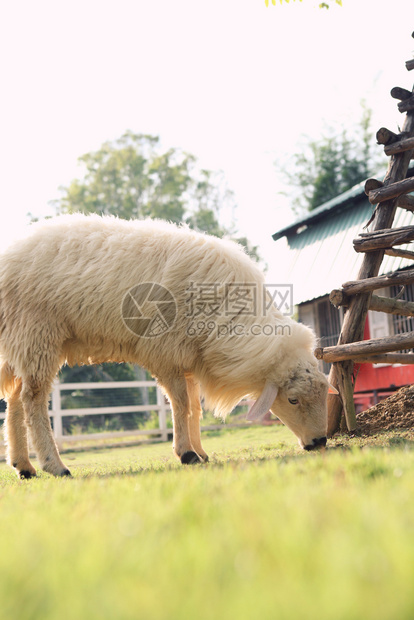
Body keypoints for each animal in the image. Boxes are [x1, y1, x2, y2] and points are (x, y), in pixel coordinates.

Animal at [0, 214, 330, 480]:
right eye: (293, 400)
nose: (320, 442)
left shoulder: (190, 355)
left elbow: (194, 408)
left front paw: (201, 451)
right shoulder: (166, 352)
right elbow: (181, 405)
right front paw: (187, 453)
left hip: (23, 340)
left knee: (16, 399)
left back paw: (24, 467)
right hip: (37, 332)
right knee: (33, 401)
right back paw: (54, 466)